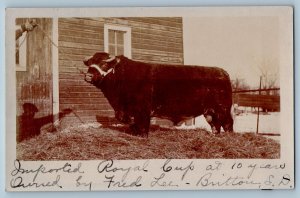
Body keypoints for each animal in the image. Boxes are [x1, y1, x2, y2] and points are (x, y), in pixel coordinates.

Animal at [82, 51, 234, 137]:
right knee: (215, 124)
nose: (88, 76)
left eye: (103, 64)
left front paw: (142, 137)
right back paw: (215, 136)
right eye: (90, 64)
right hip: (210, 111)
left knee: (228, 123)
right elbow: (134, 126)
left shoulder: (142, 110)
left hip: (223, 108)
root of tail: (222, 71)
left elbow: (143, 126)